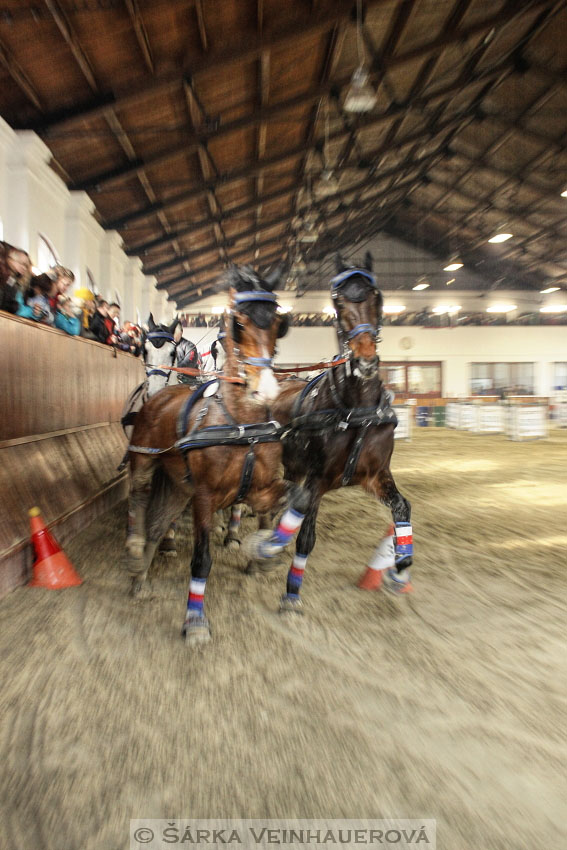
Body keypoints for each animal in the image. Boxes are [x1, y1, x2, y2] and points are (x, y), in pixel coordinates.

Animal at [126, 264, 308, 644]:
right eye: (237, 323)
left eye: (278, 322)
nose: (265, 389)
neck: (241, 423)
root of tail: (160, 397)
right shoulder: (204, 496)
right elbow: (202, 559)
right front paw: (195, 621)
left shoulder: (262, 485)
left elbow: (294, 497)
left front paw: (265, 550)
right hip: (145, 459)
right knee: (139, 496)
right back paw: (136, 553)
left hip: (177, 484)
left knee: (160, 521)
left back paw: (142, 574)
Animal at [244, 252, 412, 608]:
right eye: (338, 300)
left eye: (376, 296)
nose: (365, 361)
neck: (355, 409)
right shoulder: (318, 480)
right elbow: (305, 537)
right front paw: (291, 592)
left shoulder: (375, 475)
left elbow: (402, 507)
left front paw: (401, 567)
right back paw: (259, 553)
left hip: (293, 468)